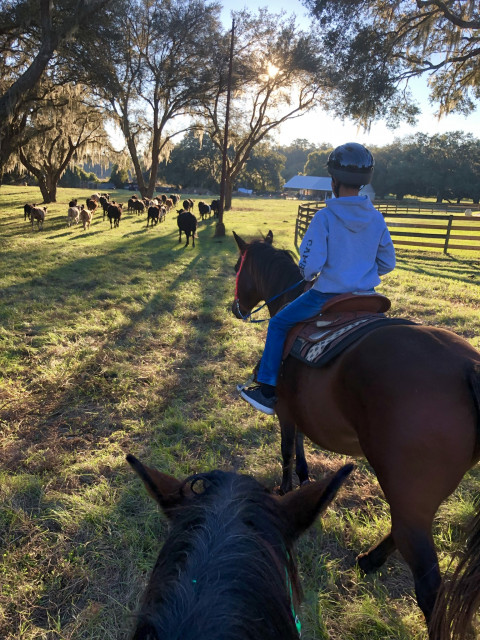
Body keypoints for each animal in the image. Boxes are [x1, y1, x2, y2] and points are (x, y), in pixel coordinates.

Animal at [232, 231, 480, 640]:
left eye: (238, 267)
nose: (235, 307)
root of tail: (467, 367)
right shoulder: (298, 412)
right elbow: (300, 446)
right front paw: (305, 480)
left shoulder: (284, 411)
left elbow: (286, 449)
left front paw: (285, 490)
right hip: (421, 494)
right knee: (402, 528)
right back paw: (369, 560)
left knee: (429, 586)